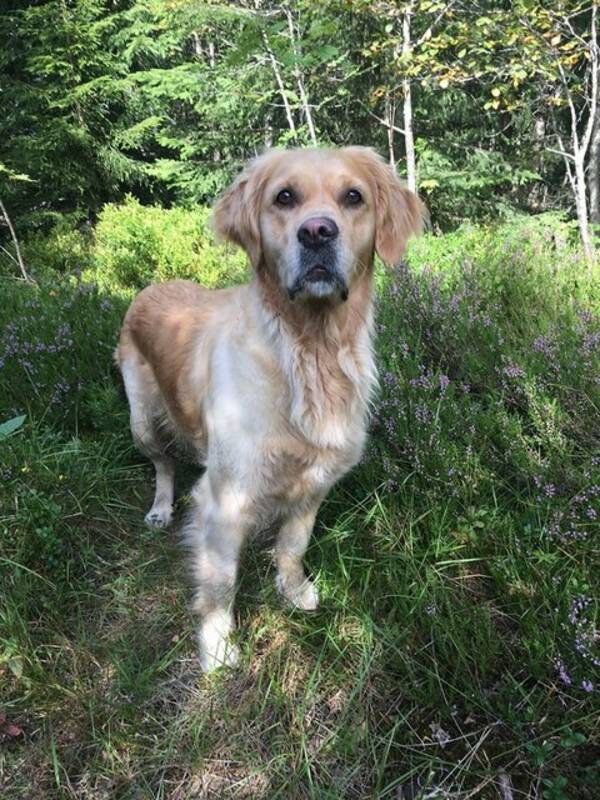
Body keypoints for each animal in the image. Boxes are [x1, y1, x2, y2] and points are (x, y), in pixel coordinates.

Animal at [116, 147, 422, 672]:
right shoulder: (224, 499)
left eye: (353, 196)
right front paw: (218, 649)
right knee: (162, 463)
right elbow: (220, 583)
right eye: (284, 197)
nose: (317, 231)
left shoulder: (316, 481)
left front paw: (294, 592)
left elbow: (293, 547)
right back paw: (159, 508)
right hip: (141, 420)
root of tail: (149, 287)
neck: (308, 353)